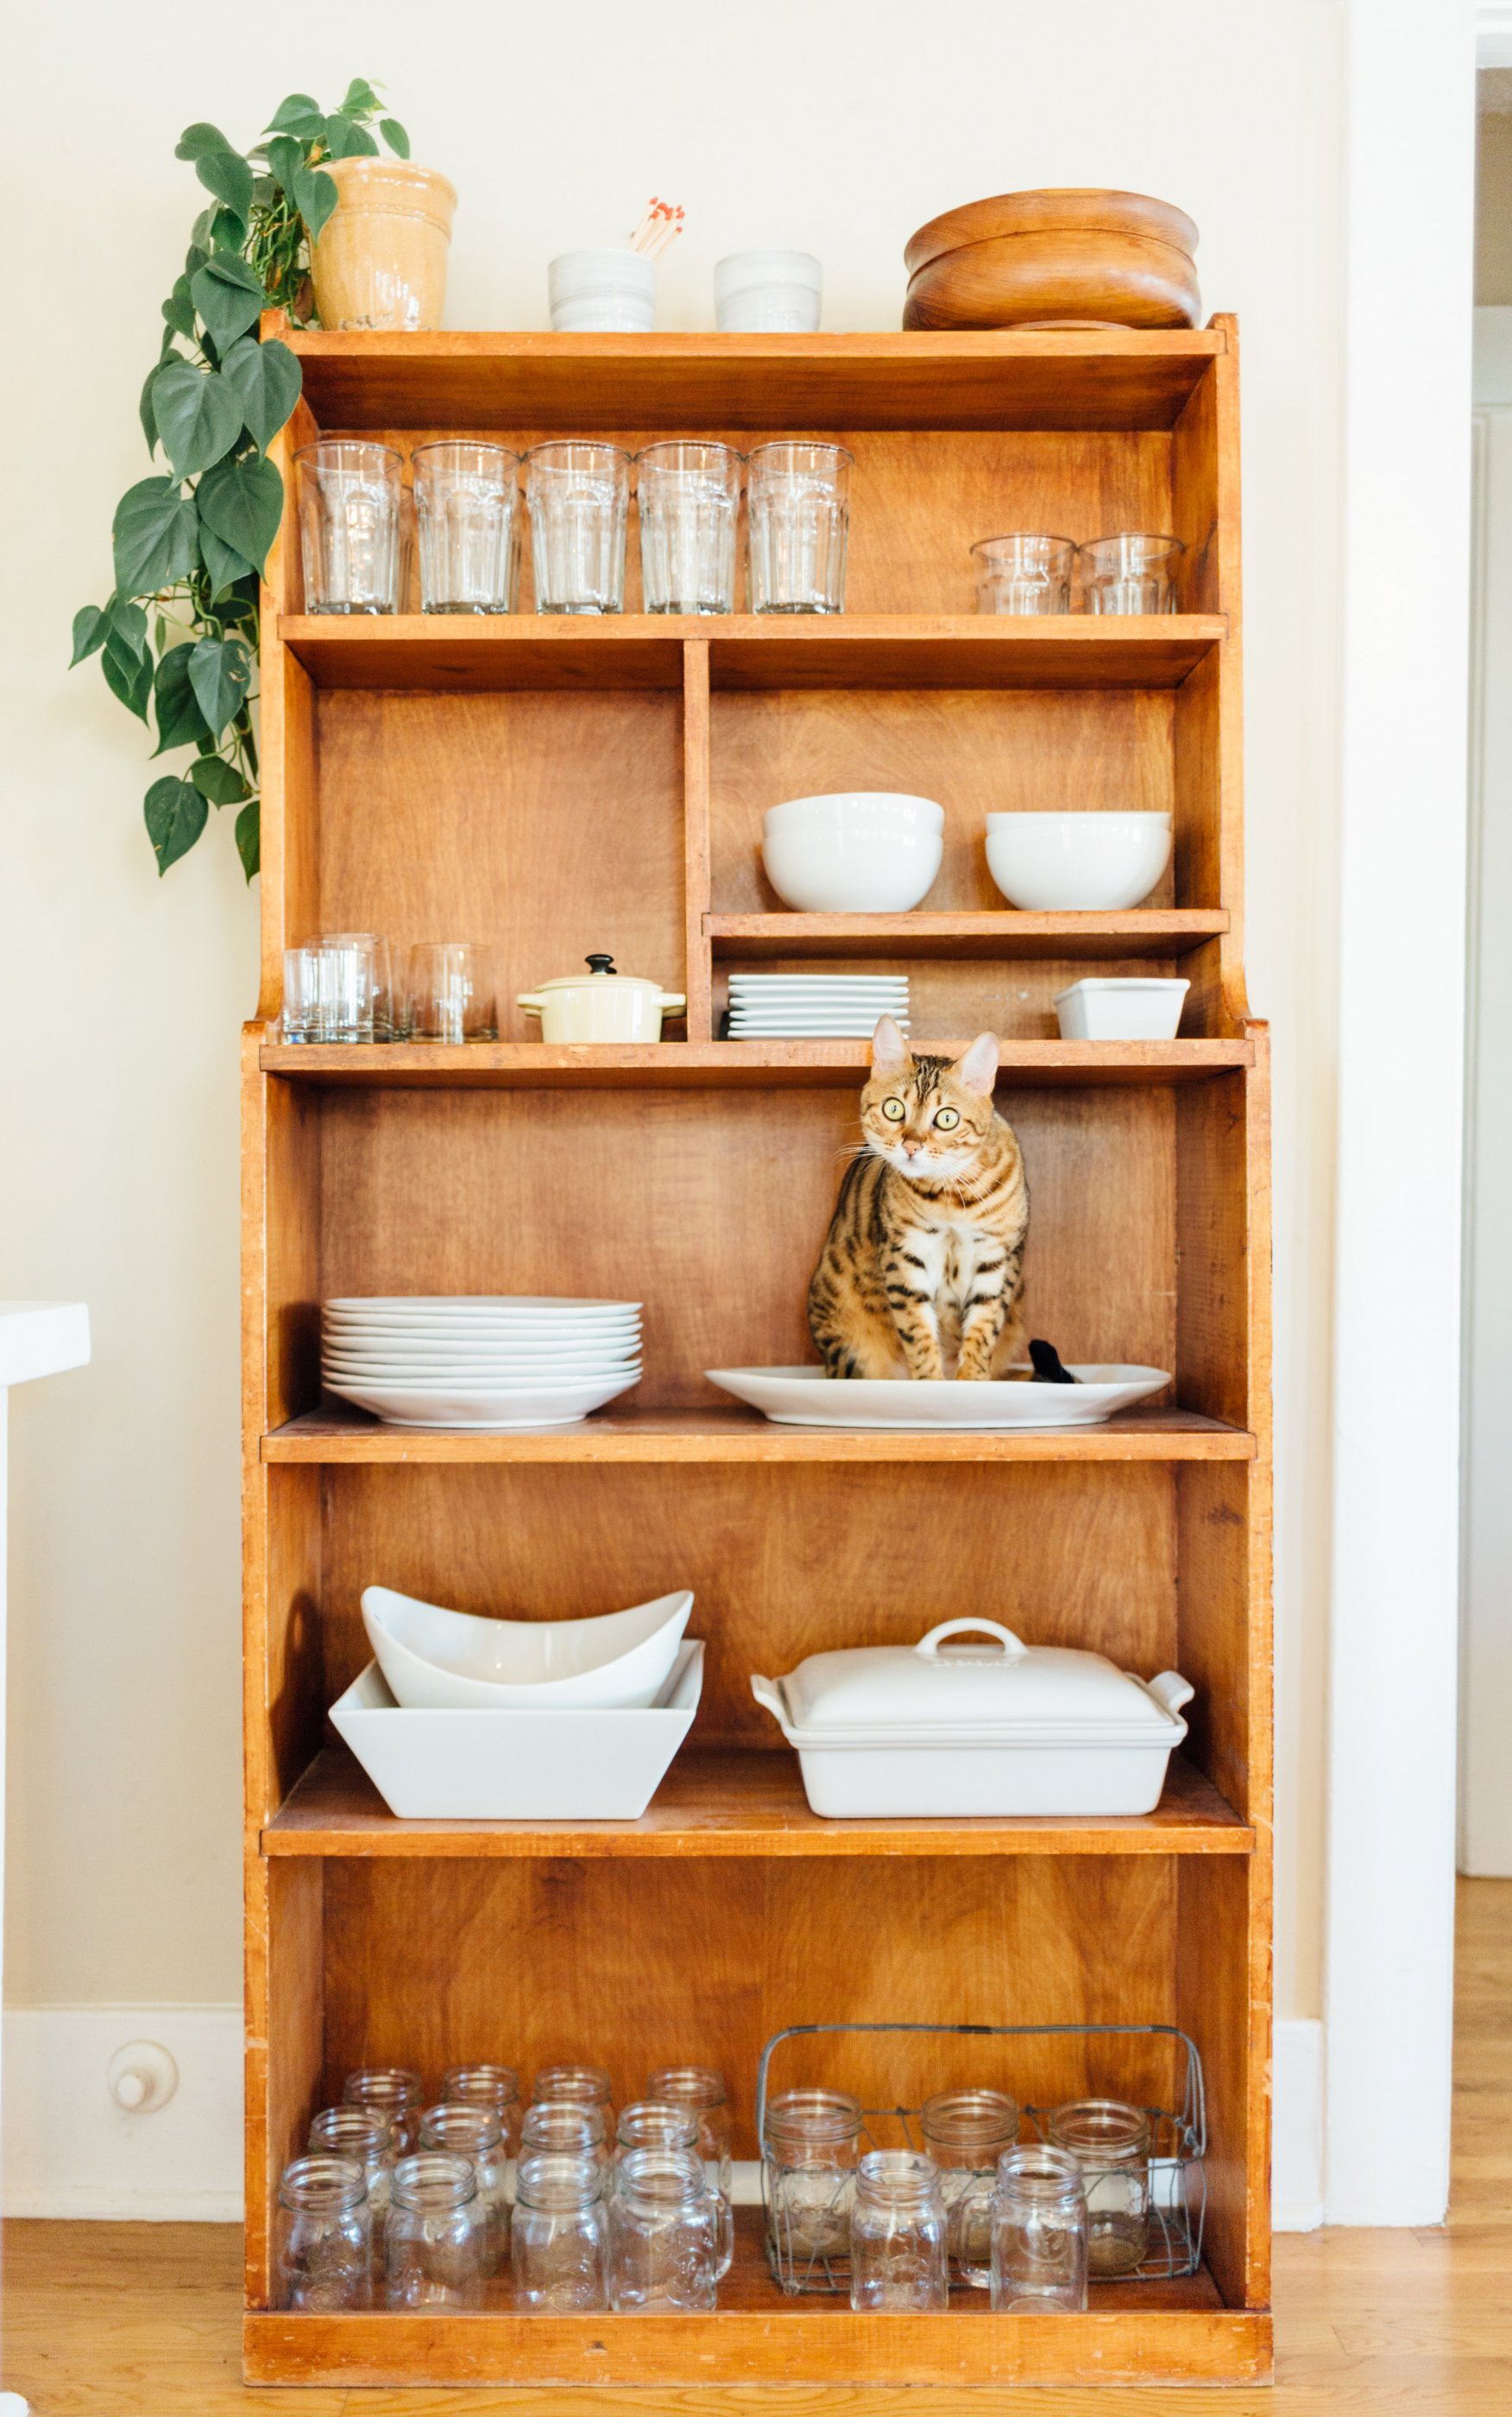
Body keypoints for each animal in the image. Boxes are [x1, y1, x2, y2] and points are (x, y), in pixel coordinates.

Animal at [808, 1018, 1029, 1382]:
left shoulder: (998, 1258)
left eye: (947, 1118)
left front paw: (972, 1381)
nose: (911, 1146)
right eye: (894, 1108)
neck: (952, 1199)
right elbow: (919, 1334)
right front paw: (930, 1383)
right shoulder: (905, 1256)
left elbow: (983, 1332)